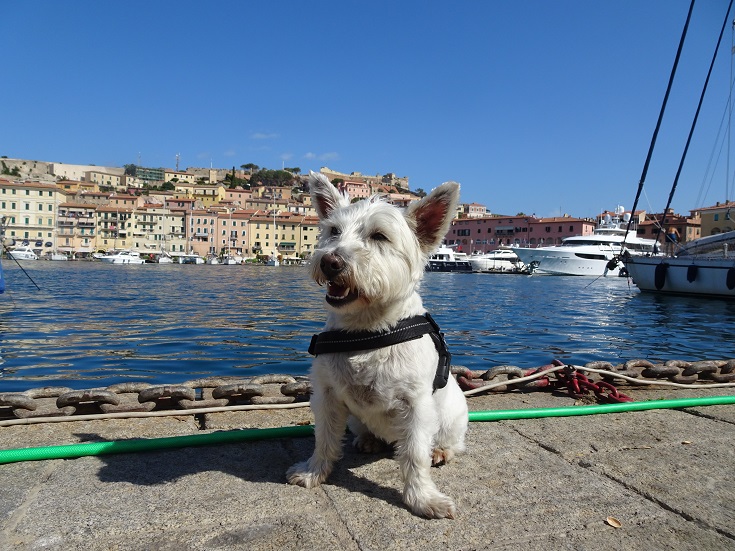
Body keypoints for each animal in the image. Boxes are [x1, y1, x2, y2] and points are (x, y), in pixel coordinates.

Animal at [284, 171, 468, 516]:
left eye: (380, 236)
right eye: (333, 231)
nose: (330, 262)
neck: (366, 331)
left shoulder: (416, 405)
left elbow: (414, 455)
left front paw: (423, 499)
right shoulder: (327, 395)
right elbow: (324, 438)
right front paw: (313, 472)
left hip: (454, 413)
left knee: (451, 441)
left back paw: (440, 451)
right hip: (355, 419)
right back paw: (368, 440)